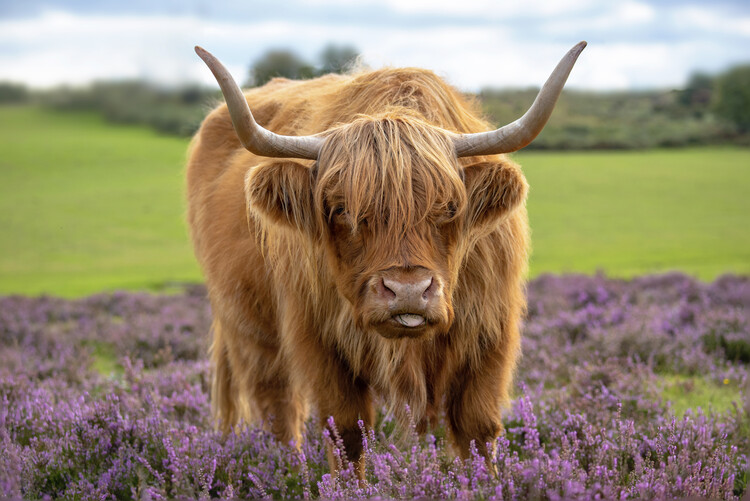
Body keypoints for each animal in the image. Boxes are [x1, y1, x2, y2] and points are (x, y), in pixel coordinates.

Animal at [187, 41, 588, 470]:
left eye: (450, 208)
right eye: (341, 210)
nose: (408, 291)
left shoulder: (490, 332)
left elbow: (477, 428)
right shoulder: (319, 339)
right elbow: (346, 431)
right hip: (250, 329)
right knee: (278, 408)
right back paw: (287, 468)